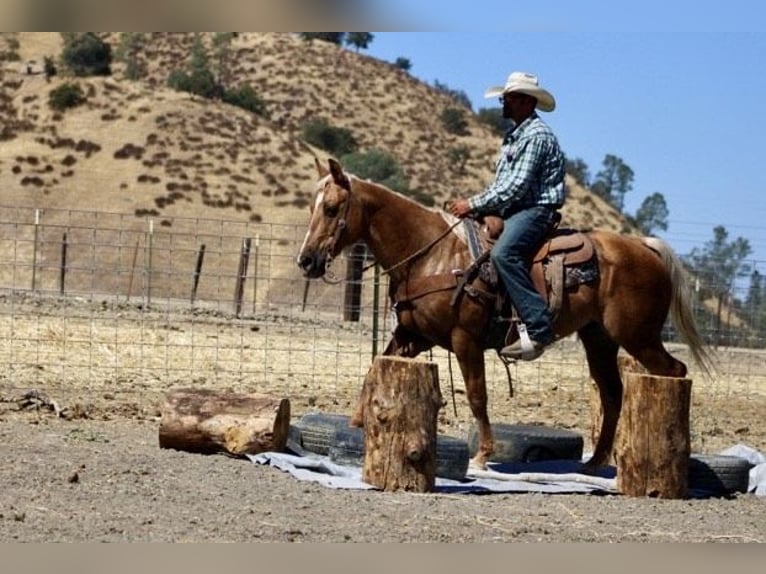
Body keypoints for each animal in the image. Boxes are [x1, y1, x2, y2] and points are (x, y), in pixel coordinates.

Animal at [297, 157, 713, 470]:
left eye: (331, 209)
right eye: (311, 208)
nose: (307, 260)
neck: (431, 255)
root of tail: (645, 246)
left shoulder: (465, 340)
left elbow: (477, 395)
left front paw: (483, 455)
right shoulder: (412, 337)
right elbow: (372, 374)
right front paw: (356, 425)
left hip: (639, 336)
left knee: (674, 371)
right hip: (600, 341)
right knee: (612, 393)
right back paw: (595, 463)